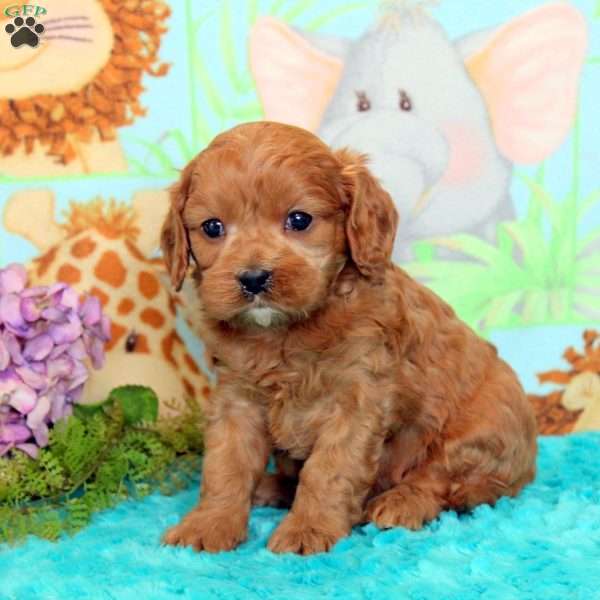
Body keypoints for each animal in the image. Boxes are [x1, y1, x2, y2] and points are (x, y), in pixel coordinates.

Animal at [161, 123, 540, 556]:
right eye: (212, 227)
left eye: (299, 219)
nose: (254, 278)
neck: (284, 333)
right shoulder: (236, 399)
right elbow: (225, 465)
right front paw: (210, 524)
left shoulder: (356, 401)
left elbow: (329, 469)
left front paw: (308, 529)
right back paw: (274, 487)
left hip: (482, 425)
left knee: (443, 479)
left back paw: (400, 503)